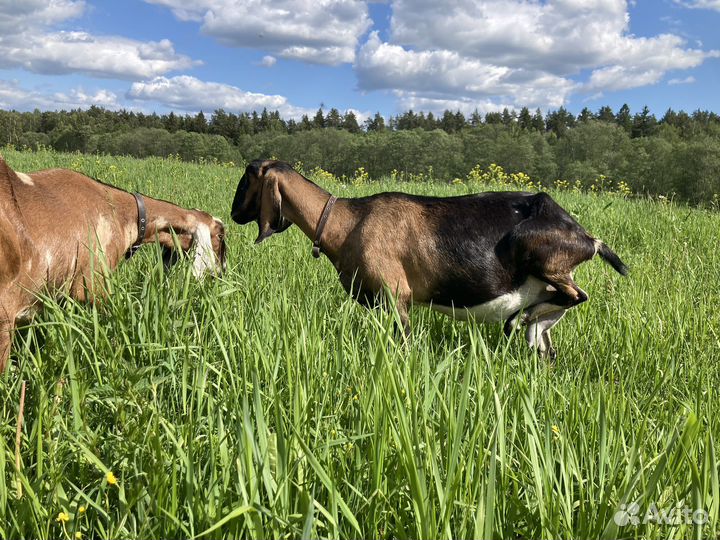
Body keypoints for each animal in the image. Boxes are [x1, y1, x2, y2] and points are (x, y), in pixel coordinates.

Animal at [231, 160, 627, 357]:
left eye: (246, 180)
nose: (233, 214)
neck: (348, 221)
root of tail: (586, 238)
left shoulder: (396, 296)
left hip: (541, 254)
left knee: (576, 295)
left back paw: (524, 317)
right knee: (549, 334)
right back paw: (532, 324)